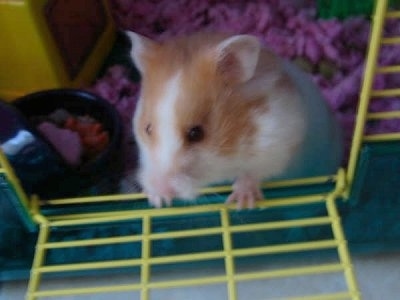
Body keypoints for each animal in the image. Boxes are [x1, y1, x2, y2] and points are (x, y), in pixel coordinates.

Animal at [126, 31, 342, 209]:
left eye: (196, 133)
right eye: (147, 129)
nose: (161, 186)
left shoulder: (280, 139)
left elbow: (254, 172)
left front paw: (242, 202)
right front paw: (157, 199)